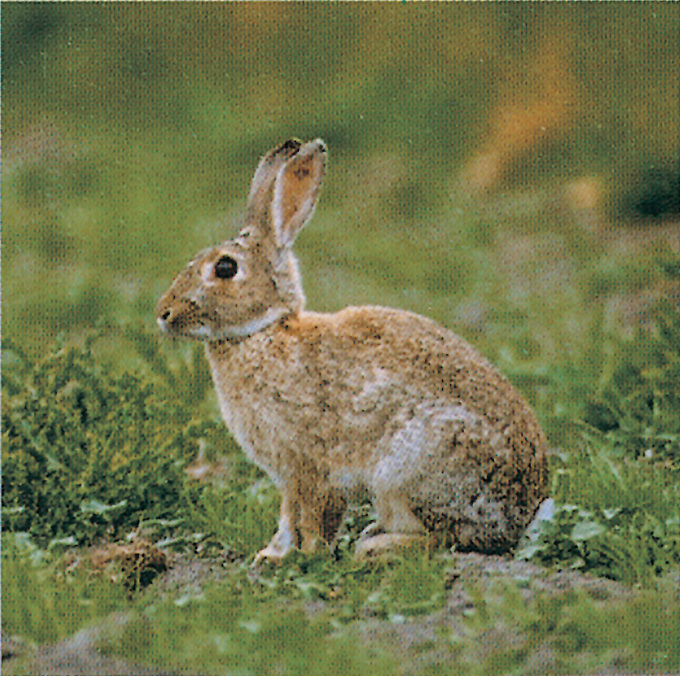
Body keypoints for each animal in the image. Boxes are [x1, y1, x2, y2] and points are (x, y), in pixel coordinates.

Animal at [156, 139, 548, 562]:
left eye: (225, 268)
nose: (163, 313)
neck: (262, 332)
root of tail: (519, 517)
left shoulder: (312, 466)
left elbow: (314, 517)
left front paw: (308, 556)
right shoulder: (289, 476)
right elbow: (286, 516)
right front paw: (272, 555)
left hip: (412, 468)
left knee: (449, 536)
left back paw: (375, 546)